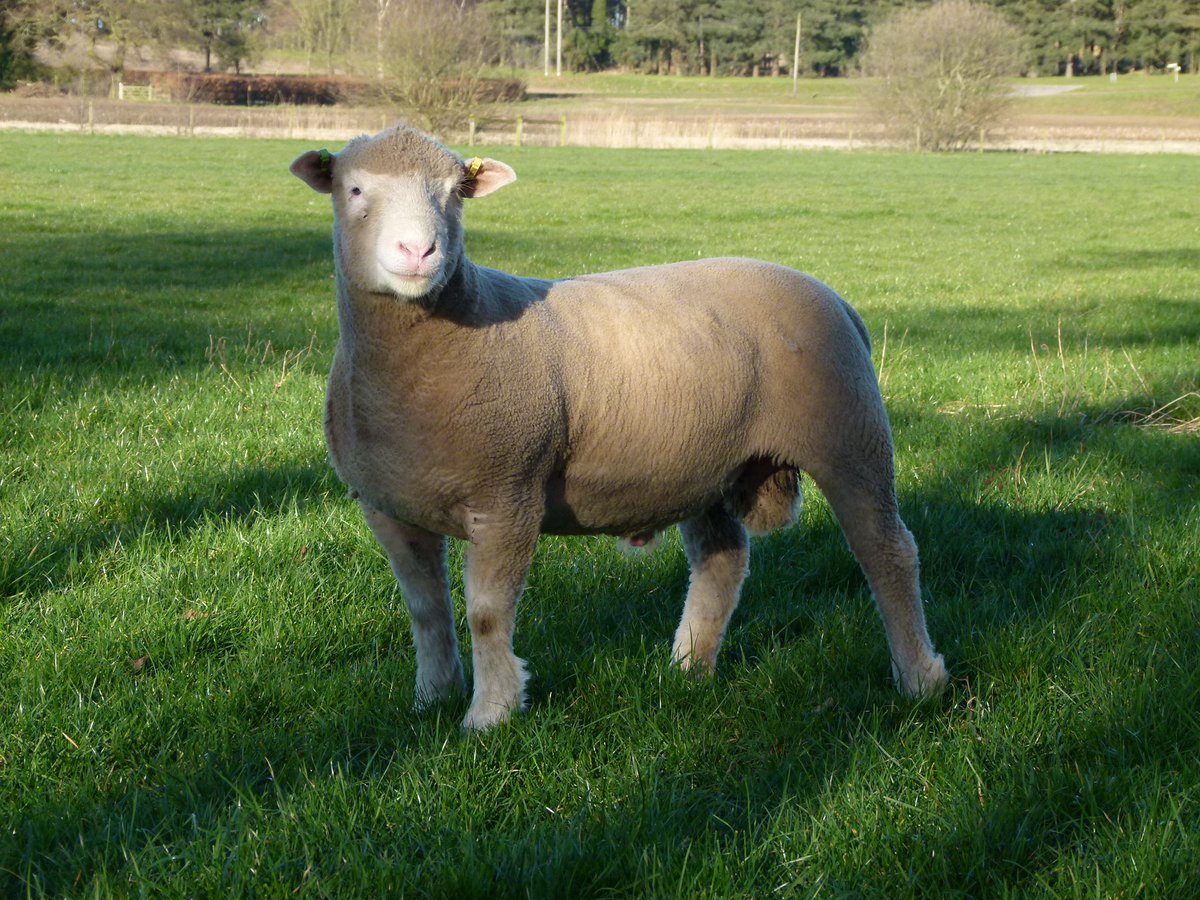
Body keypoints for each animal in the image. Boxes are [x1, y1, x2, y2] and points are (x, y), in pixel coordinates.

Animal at [290, 124, 949, 731]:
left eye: (456, 194)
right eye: (354, 189)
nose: (417, 251)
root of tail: (836, 298)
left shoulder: (509, 496)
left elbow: (486, 613)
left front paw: (490, 714)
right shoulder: (386, 505)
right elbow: (426, 611)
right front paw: (432, 698)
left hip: (850, 435)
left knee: (887, 551)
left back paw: (920, 678)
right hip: (705, 464)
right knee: (723, 561)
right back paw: (688, 666)